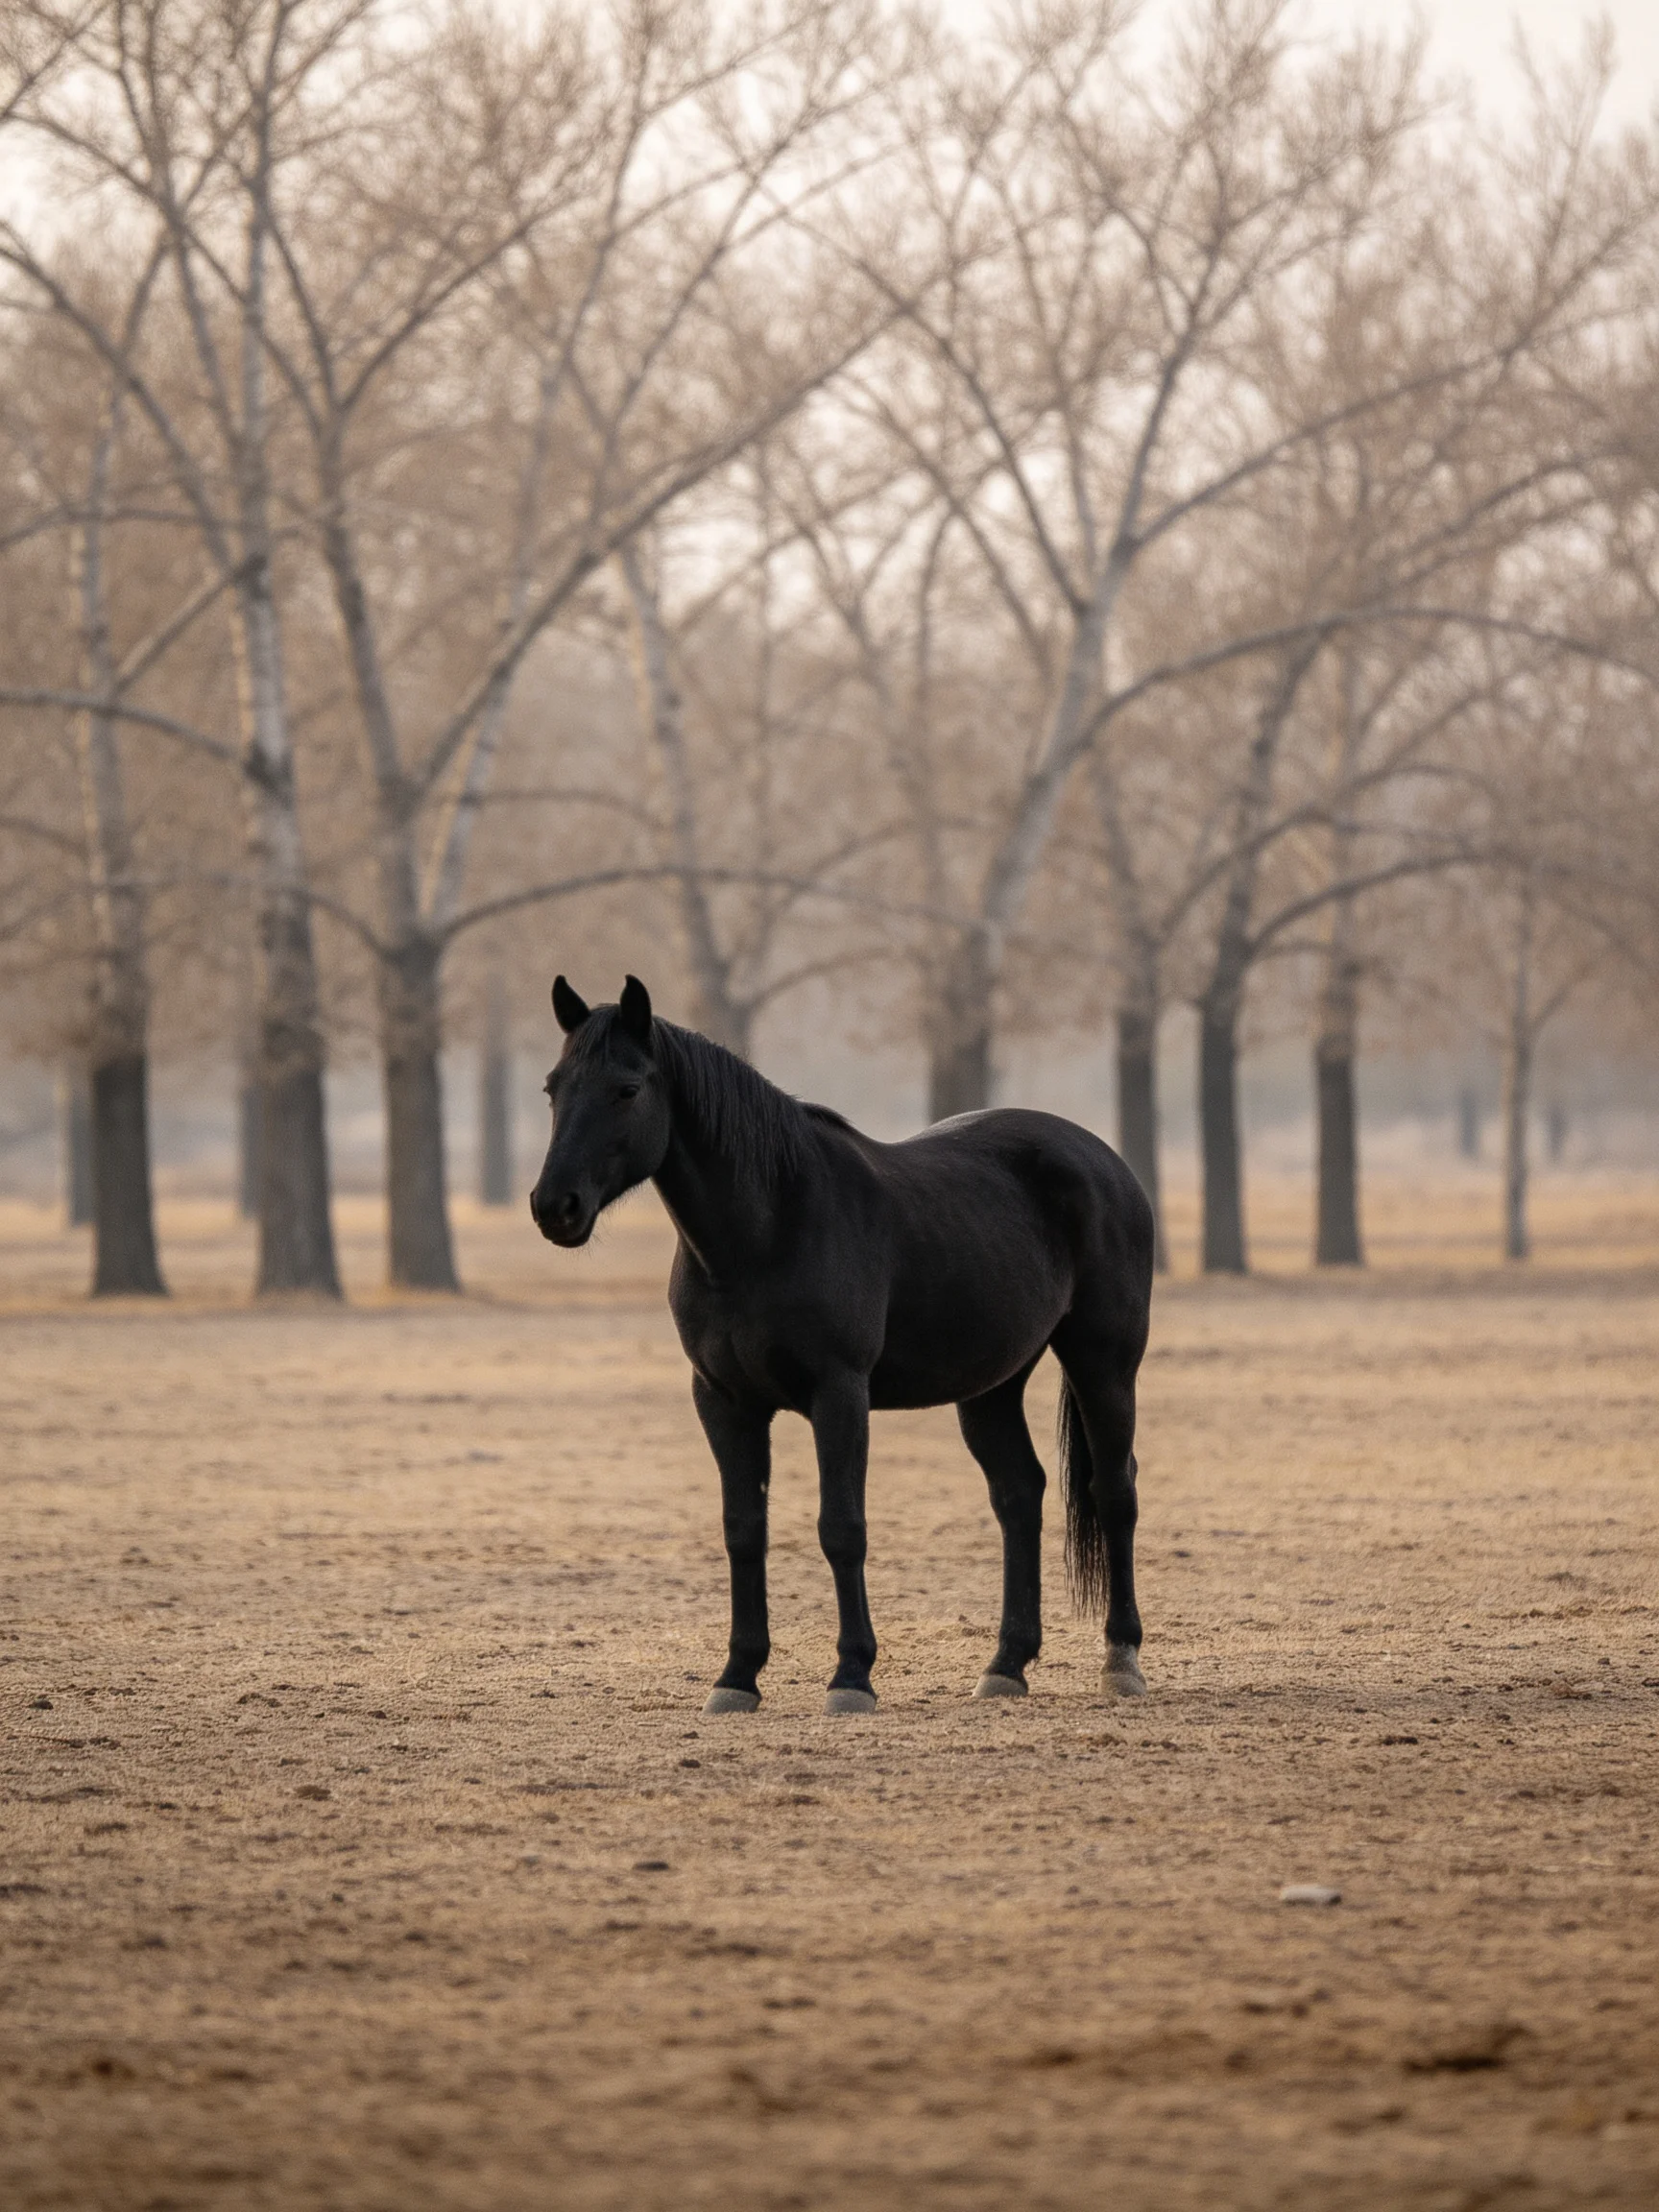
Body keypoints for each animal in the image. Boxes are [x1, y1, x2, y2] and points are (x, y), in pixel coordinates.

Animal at [530, 975, 1155, 1717]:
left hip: (1104, 1363)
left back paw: (1121, 1659)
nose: (554, 1207)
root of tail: (1105, 1160)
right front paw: (736, 1676)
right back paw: (1006, 1665)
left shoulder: (839, 1395)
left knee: (1113, 1491)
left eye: (626, 1089)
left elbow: (841, 1528)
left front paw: (851, 1676)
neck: (767, 1229)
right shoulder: (723, 1401)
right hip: (991, 1386)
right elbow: (744, 1529)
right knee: (1018, 1494)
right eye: (553, 1087)